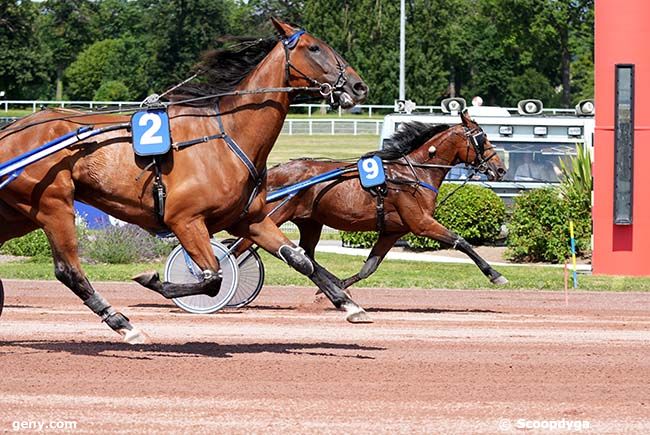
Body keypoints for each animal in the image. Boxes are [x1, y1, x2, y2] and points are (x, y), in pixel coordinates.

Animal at [0, 18, 368, 342]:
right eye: (314, 47)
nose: (358, 86)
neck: (226, 135)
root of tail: (13, 130)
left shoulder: (248, 219)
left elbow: (299, 259)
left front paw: (349, 304)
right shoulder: (185, 220)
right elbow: (212, 277)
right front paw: (151, 280)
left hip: (19, 214)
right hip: (52, 204)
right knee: (69, 271)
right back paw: (124, 325)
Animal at [233, 110, 506, 290]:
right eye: (482, 138)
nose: (500, 169)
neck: (412, 174)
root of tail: (273, 172)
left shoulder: (393, 231)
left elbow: (369, 267)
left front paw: (339, 286)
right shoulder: (421, 222)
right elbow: (462, 242)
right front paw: (495, 274)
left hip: (310, 222)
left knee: (305, 255)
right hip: (271, 217)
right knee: (240, 248)